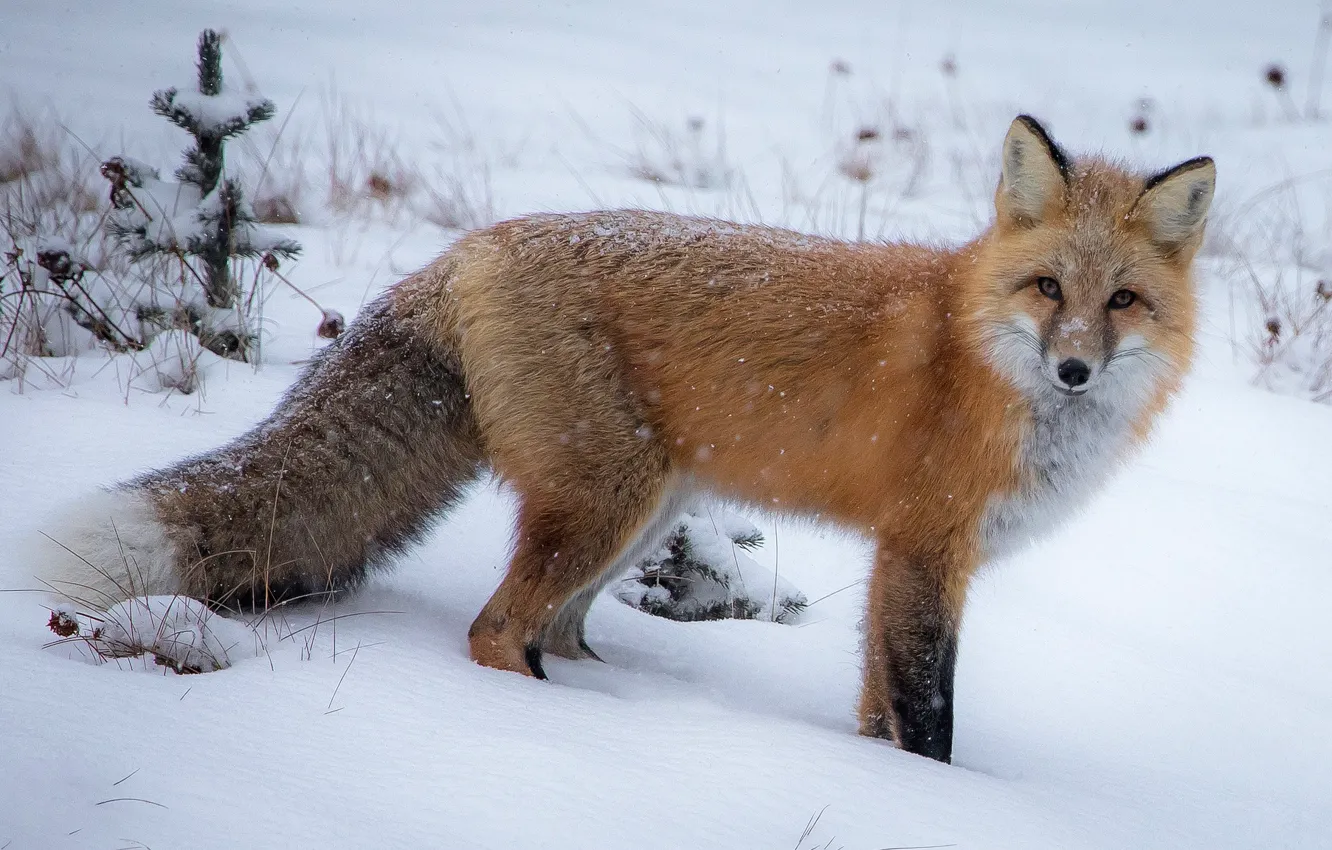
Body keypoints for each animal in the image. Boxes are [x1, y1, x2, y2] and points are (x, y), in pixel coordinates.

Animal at [33, 114, 1220, 767]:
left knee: (554, 630)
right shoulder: (927, 552)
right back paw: (577, 737)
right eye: (1047, 289)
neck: (979, 355)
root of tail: (465, 249)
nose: (1074, 369)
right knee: (496, 631)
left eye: (1121, 301)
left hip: (647, 514)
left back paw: (615, 712)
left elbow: (877, 712)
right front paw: (930, 799)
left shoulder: (901, 561)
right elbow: (927, 720)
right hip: (607, 502)